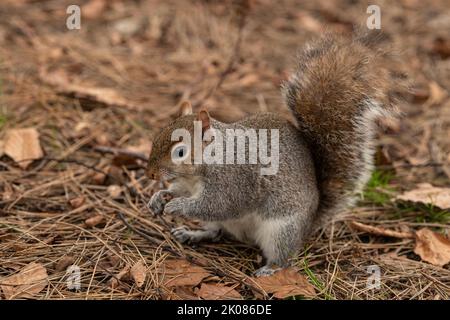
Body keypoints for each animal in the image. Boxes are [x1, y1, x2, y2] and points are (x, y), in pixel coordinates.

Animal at [146, 28, 396, 276]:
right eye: (157, 135)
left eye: (180, 152)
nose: (151, 175)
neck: (202, 169)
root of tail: (310, 221)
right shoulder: (188, 184)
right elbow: (179, 190)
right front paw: (159, 197)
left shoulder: (233, 181)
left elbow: (216, 205)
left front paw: (177, 205)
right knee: (217, 231)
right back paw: (193, 233)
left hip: (282, 229)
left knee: (283, 256)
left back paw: (270, 269)